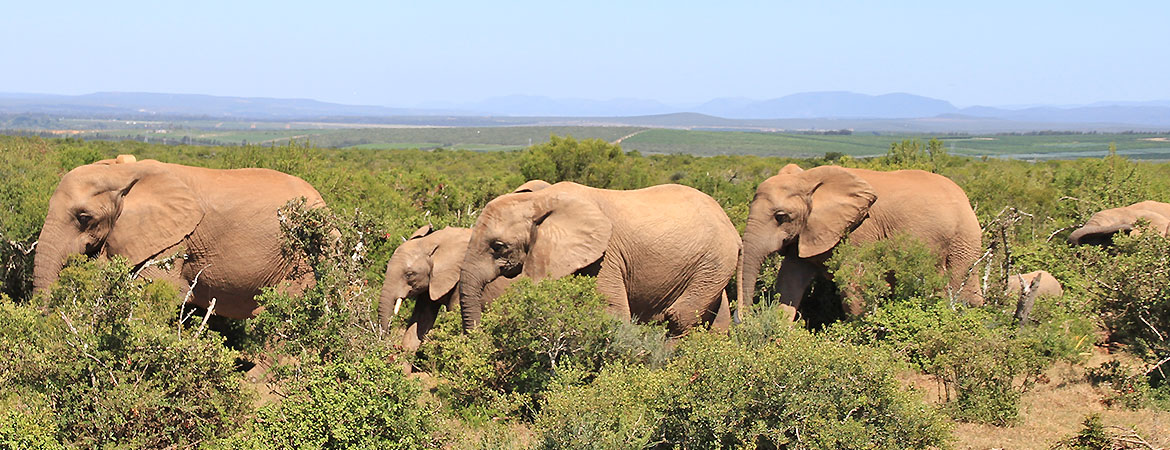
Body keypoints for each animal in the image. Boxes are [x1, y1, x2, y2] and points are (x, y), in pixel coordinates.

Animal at [453, 179, 734, 331]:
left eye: (498, 246)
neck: (541, 200)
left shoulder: (606, 256)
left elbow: (610, 313)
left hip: (714, 261)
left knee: (680, 317)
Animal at [739, 163, 987, 317]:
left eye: (781, 217)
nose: (743, 321)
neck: (809, 179)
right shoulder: (807, 231)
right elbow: (789, 280)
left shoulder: (859, 230)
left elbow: (855, 285)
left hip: (962, 238)